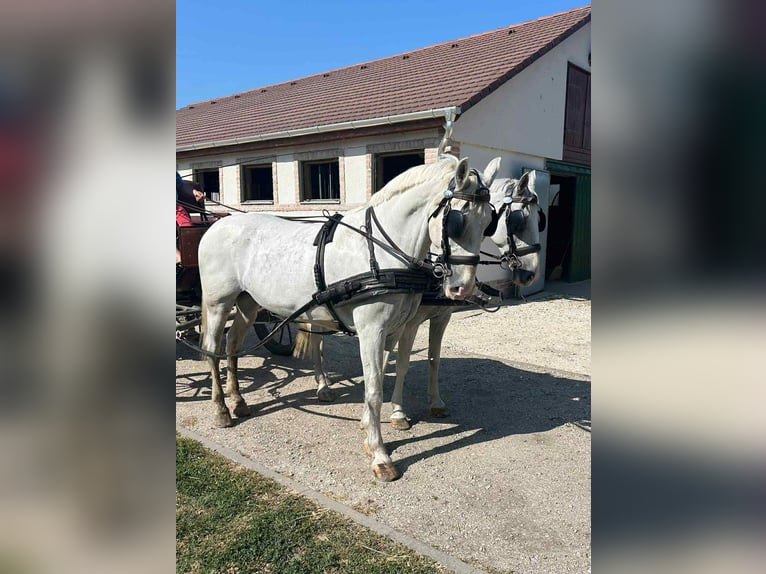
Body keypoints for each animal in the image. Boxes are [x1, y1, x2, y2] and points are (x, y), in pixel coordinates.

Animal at [197, 154, 498, 481]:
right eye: (456, 220)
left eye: (488, 223)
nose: (462, 287)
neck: (380, 251)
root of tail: (219, 225)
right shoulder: (372, 330)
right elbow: (374, 389)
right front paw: (380, 455)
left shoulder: (397, 327)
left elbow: (388, 373)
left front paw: (371, 427)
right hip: (218, 303)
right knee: (212, 350)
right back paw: (221, 410)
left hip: (248, 303)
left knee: (233, 345)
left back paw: (238, 401)